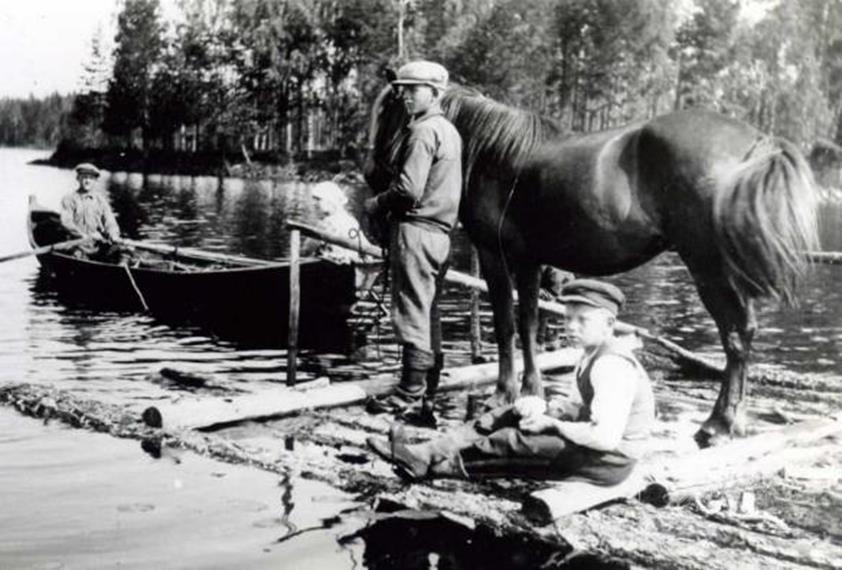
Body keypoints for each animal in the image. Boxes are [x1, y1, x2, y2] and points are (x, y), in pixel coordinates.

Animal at [364, 82, 816, 442]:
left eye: (388, 111)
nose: (370, 175)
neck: (494, 153)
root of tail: (757, 141)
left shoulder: (499, 257)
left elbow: (508, 325)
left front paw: (504, 393)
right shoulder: (531, 261)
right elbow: (528, 324)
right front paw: (531, 391)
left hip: (709, 267)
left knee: (736, 337)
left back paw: (717, 424)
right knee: (745, 335)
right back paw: (734, 421)